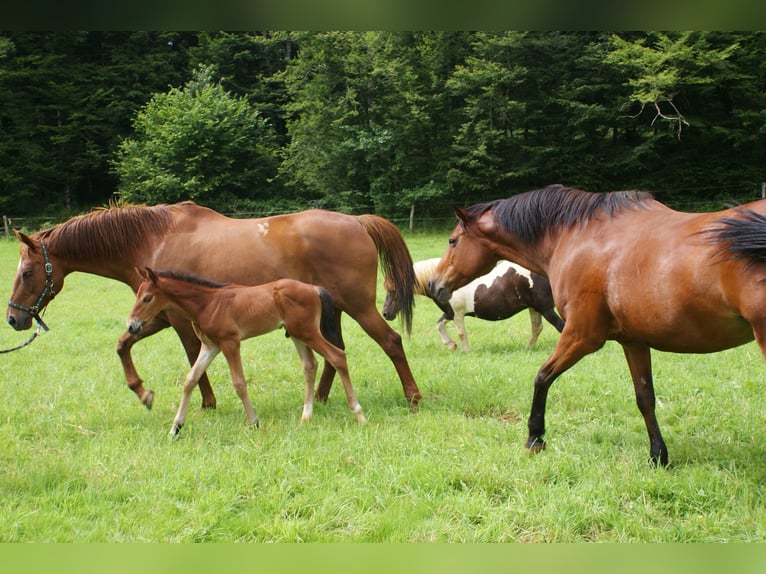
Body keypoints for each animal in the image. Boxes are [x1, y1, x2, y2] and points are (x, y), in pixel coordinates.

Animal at [4, 200, 420, 412]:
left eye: (27, 272)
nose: (12, 318)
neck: (153, 239)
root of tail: (357, 221)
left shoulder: (178, 319)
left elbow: (193, 359)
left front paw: (205, 402)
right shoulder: (157, 316)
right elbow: (124, 344)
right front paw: (142, 391)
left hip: (360, 307)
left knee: (390, 342)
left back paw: (412, 396)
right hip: (331, 310)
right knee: (337, 351)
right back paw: (319, 397)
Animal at [127, 270, 368, 436]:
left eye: (147, 298)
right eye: (137, 295)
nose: (131, 326)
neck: (208, 303)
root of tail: (314, 289)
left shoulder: (230, 343)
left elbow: (239, 384)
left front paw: (254, 422)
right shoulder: (210, 346)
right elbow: (190, 380)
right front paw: (175, 428)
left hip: (307, 332)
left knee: (337, 356)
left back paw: (358, 414)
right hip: (297, 334)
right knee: (310, 366)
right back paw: (306, 417)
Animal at [382, 258, 564, 352]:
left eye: (393, 290)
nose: (385, 313)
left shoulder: (457, 314)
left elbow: (461, 333)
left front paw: (465, 351)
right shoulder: (450, 313)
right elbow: (439, 325)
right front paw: (451, 345)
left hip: (545, 309)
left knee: (560, 326)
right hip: (534, 308)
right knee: (537, 328)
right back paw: (528, 348)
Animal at [428, 186, 766, 468]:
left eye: (452, 241)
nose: (434, 284)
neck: (578, 236)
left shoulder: (582, 335)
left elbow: (542, 377)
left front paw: (535, 437)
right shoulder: (633, 341)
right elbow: (645, 398)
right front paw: (658, 456)